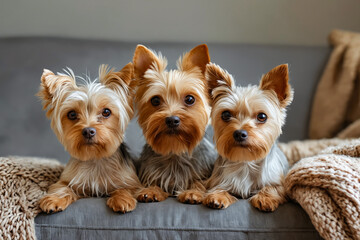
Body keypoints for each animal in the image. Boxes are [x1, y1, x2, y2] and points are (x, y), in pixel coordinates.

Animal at [37, 63, 143, 214]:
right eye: (72, 114)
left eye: (106, 112)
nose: (88, 131)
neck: (95, 158)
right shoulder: (68, 180)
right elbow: (62, 187)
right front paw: (54, 200)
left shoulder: (131, 181)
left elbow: (125, 188)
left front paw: (122, 200)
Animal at [132, 44, 217, 203]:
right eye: (155, 100)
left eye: (190, 99)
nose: (172, 119)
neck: (174, 150)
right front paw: (150, 191)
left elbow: (199, 183)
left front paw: (192, 192)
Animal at [202, 62, 292, 211]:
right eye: (226, 114)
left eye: (262, 116)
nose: (239, 133)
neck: (245, 161)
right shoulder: (218, 180)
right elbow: (218, 187)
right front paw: (217, 196)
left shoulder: (278, 182)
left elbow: (273, 187)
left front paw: (266, 198)